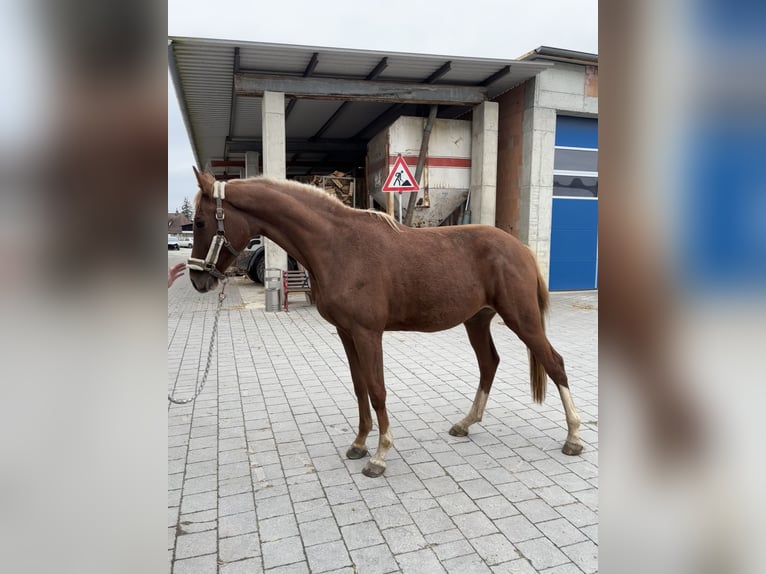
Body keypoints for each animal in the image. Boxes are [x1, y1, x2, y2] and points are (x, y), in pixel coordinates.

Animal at [189, 169, 584, 480]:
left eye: (200, 222)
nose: (197, 280)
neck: (338, 245)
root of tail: (521, 248)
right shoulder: (346, 333)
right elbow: (359, 387)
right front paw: (359, 443)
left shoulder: (368, 333)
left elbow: (377, 390)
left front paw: (379, 456)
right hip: (477, 321)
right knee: (489, 364)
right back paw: (466, 423)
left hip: (522, 319)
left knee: (555, 363)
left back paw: (574, 437)